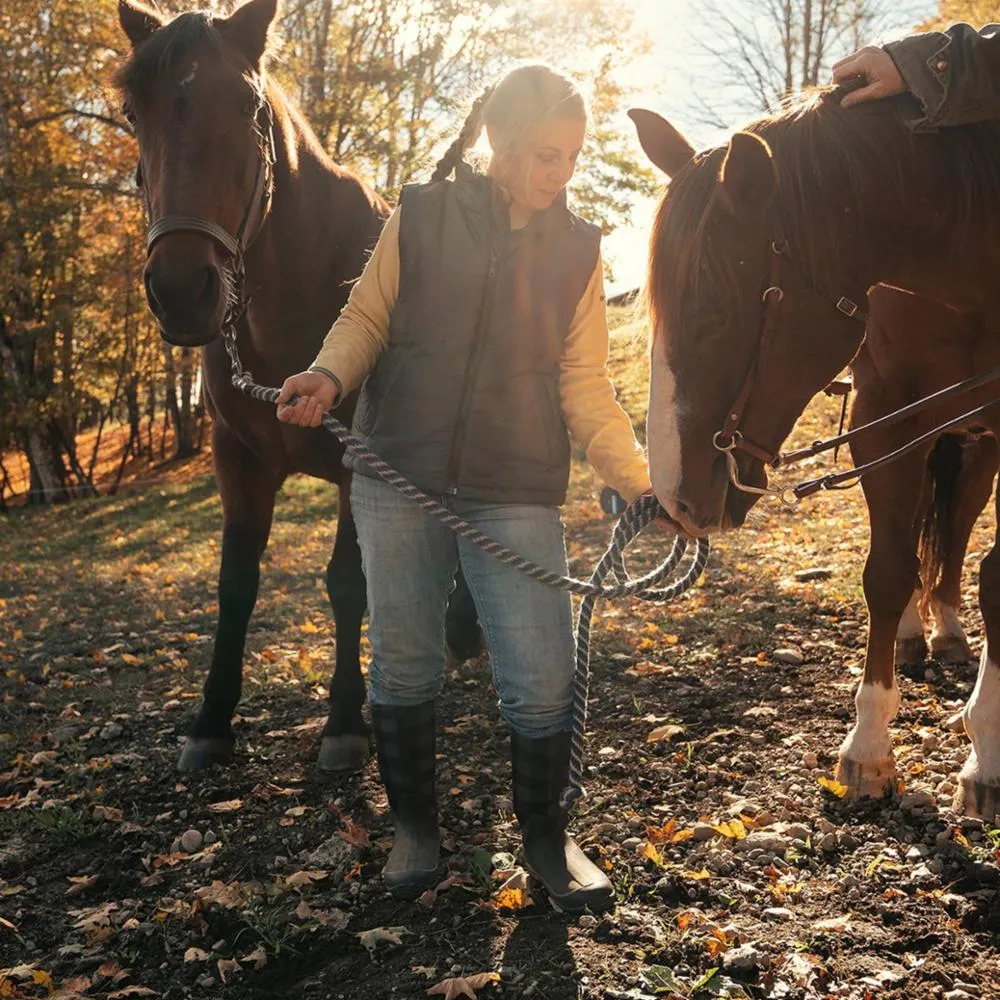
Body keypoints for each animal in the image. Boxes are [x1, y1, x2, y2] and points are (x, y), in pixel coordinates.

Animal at [113, 0, 480, 772]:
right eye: (134, 112)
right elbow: (235, 585)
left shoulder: (357, 463)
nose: (181, 291)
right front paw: (210, 722)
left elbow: (346, 583)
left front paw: (343, 720)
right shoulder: (237, 461)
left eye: (248, 104)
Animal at [628, 92, 1000, 820]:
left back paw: (946, 629)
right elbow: (885, 574)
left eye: (711, 315)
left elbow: (993, 576)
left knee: (954, 537)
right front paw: (868, 749)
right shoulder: (883, 421)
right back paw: (914, 632)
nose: (674, 500)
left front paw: (987, 756)